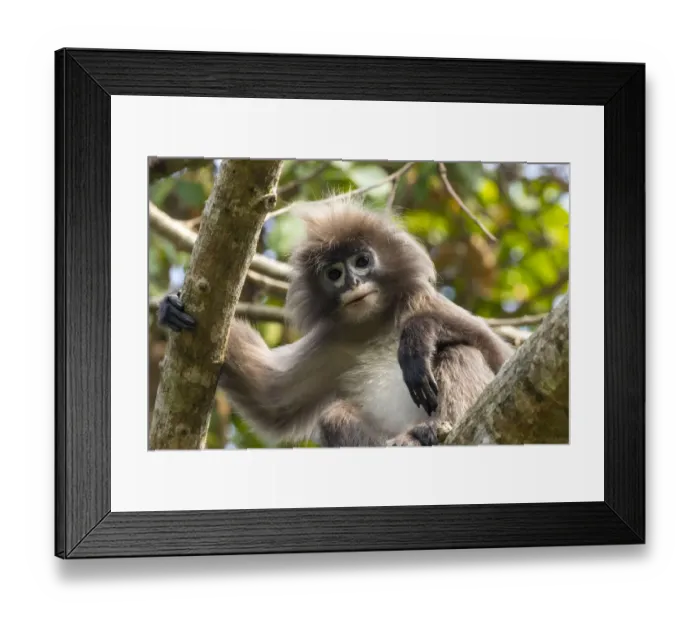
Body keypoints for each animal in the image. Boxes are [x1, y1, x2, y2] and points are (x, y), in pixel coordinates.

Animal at [157, 196, 514, 448]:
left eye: (362, 261)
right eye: (334, 274)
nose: (353, 283)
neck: (377, 325)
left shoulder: (423, 303)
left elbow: (500, 358)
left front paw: (417, 337)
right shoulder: (334, 341)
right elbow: (272, 398)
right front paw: (171, 305)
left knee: (459, 350)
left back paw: (430, 429)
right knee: (333, 416)